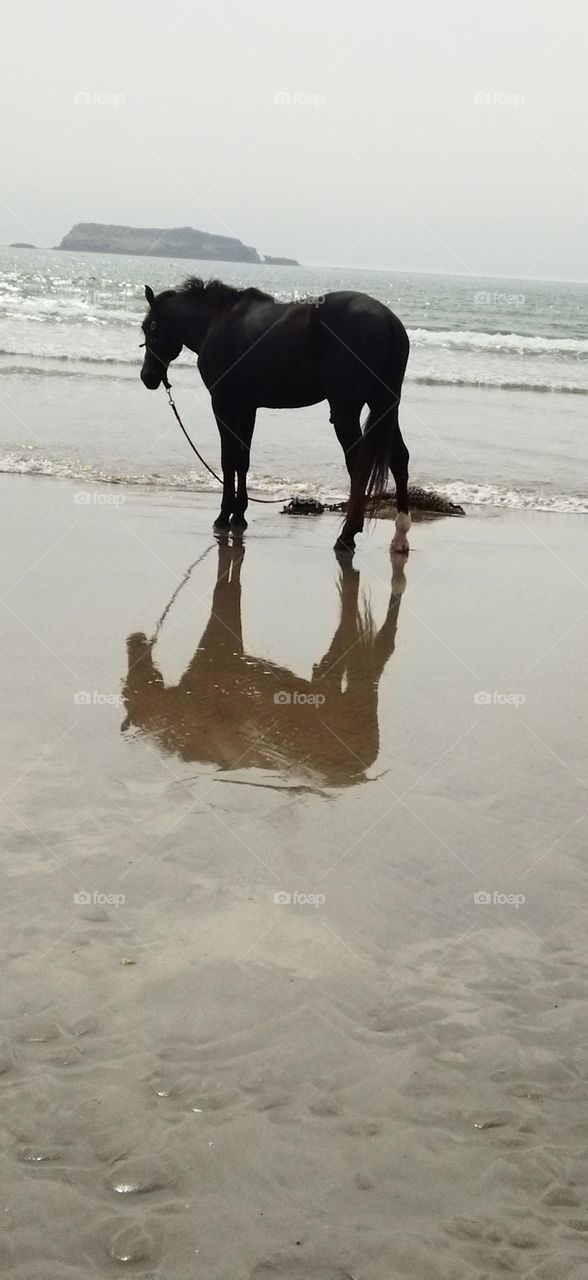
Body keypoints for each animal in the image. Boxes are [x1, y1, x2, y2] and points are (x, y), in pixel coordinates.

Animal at [140, 280, 412, 550]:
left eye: (148, 327)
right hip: (384, 404)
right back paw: (400, 535)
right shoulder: (247, 407)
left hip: (346, 411)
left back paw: (348, 534)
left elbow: (228, 459)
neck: (217, 320)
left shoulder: (223, 403)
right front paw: (239, 515)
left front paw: (224, 515)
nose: (147, 376)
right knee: (399, 460)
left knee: (358, 466)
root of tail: (388, 321)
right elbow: (242, 460)